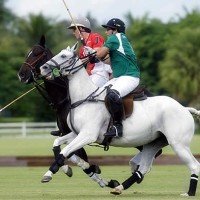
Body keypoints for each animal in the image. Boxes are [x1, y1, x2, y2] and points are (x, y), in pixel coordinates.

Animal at [17, 35, 119, 188]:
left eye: (37, 53)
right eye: (28, 53)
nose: (21, 75)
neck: (64, 100)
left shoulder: (81, 132)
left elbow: (75, 155)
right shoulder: (69, 132)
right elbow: (70, 154)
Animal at [40, 44, 200, 197]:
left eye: (63, 56)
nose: (43, 68)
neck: (84, 99)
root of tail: (184, 108)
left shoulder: (88, 135)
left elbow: (64, 151)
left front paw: (48, 174)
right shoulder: (77, 133)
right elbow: (57, 145)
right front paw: (70, 168)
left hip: (179, 144)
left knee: (194, 165)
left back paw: (189, 193)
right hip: (153, 143)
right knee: (144, 167)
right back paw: (119, 187)